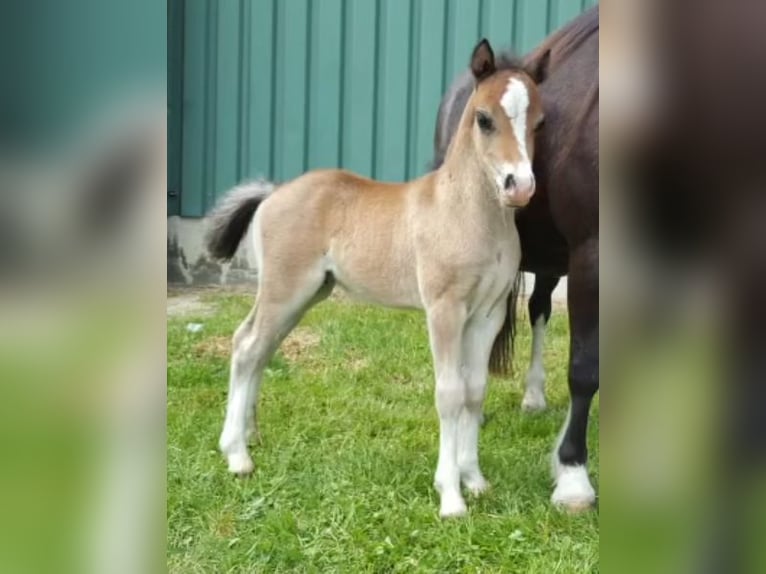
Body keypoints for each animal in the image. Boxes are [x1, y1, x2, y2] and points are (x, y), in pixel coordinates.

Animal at [207, 39, 548, 516]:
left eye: (539, 121)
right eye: (484, 119)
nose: (520, 186)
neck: (469, 214)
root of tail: (274, 192)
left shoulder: (487, 314)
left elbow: (474, 391)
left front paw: (475, 480)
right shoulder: (444, 309)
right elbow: (449, 394)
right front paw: (451, 497)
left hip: (306, 294)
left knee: (259, 349)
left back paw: (250, 437)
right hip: (284, 289)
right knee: (246, 346)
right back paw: (237, 455)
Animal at [432, 7, 600, 512]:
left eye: (542, 124)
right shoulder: (592, 256)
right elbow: (586, 368)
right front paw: (573, 477)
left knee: (538, 308)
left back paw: (533, 397)